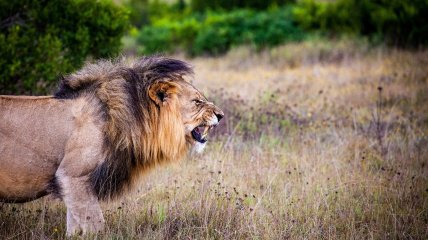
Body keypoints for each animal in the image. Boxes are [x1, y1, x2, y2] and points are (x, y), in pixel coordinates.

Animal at [0, 55, 226, 234]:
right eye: (197, 101)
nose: (221, 115)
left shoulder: (73, 186)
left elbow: (75, 228)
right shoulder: (72, 176)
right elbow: (95, 225)